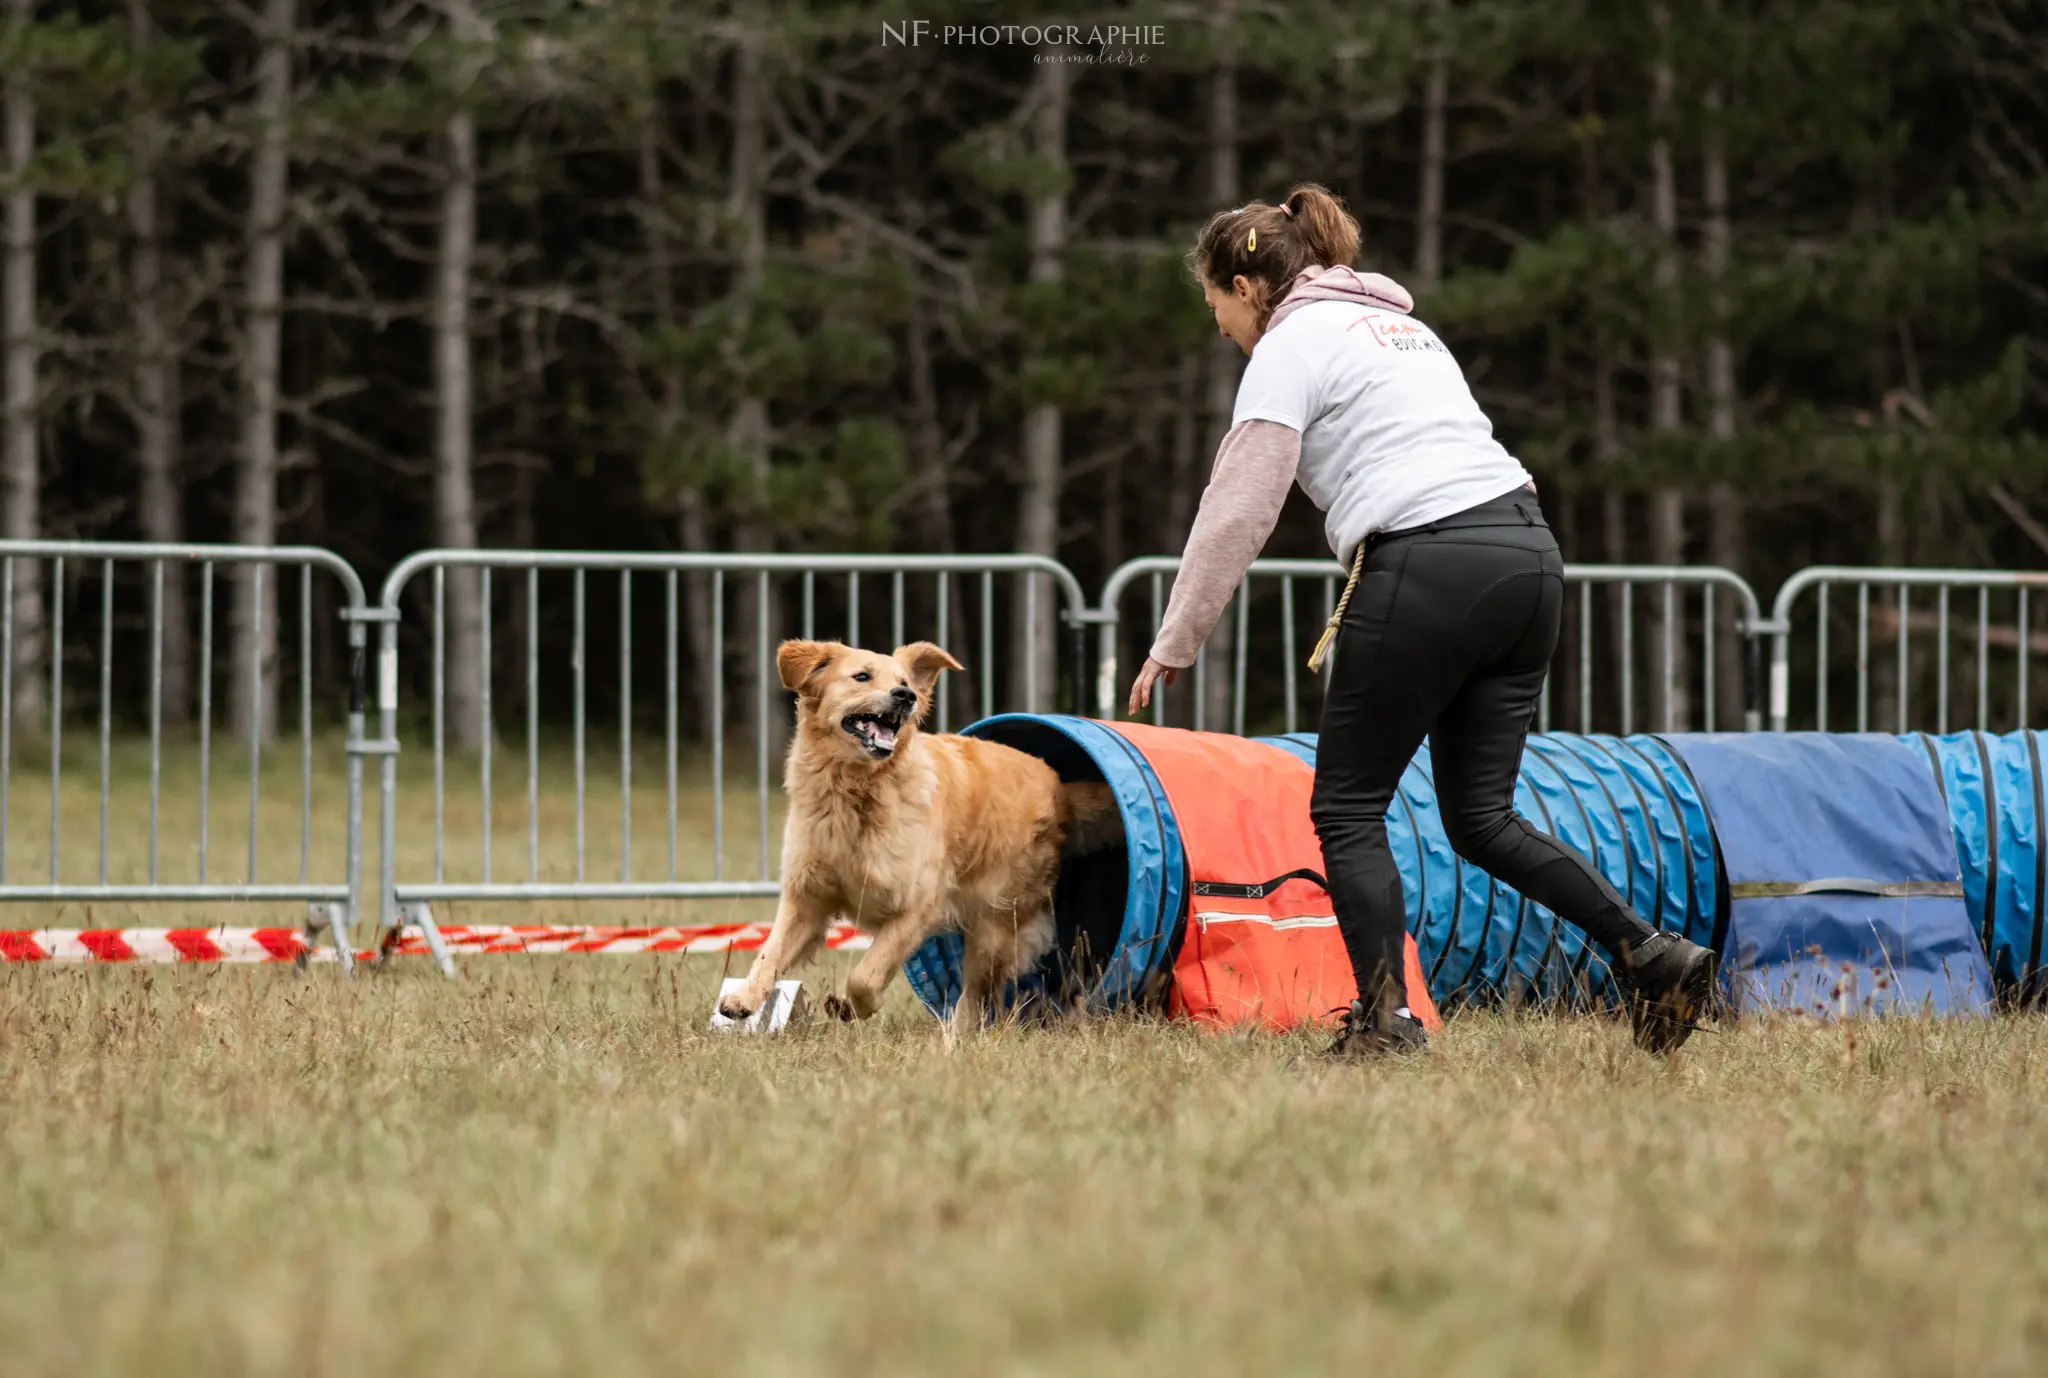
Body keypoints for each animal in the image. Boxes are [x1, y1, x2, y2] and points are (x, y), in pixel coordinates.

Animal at [716, 638, 1122, 1027]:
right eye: (862, 676)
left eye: (905, 683)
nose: (905, 696)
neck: (856, 791)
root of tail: (1058, 789)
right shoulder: (806, 897)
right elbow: (770, 952)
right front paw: (742, 999)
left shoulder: (916, 906)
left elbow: (865, 974)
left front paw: (853, 1007)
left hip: (995, 927)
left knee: (976, 995)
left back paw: (954, 1035)